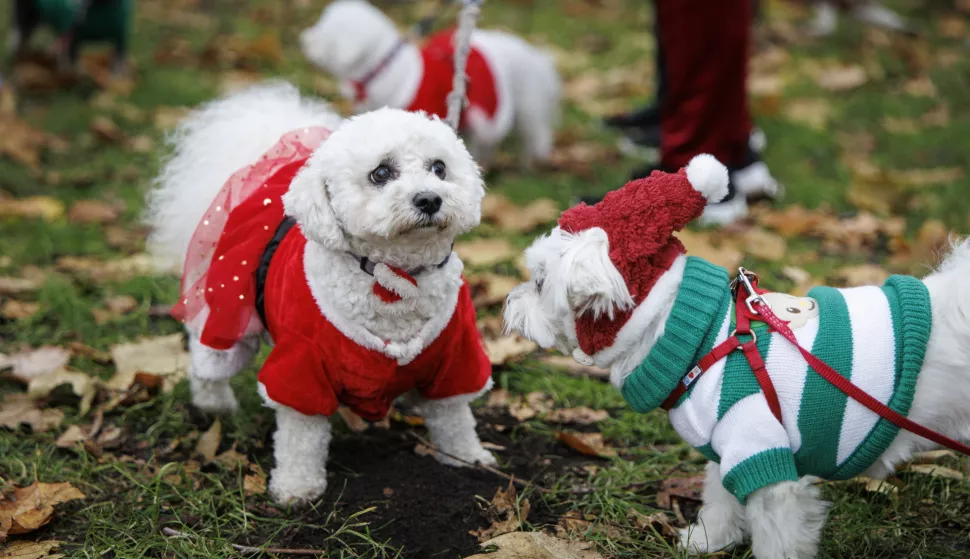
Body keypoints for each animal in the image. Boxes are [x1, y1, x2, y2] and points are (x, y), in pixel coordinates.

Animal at [149, 84, 500, 508]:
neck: (394, 280)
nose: (430, 199)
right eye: (381, 173)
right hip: (227, 309)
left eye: (440, 168)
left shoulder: (457, 354)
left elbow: (454, 416)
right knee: (209, 358)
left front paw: (468, 458)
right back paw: (214, 404)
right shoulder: (301, 363)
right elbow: (300, 437)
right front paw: (297, 488)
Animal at [502, 155, 968, 556]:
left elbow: (777, 540)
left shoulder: (761, 454)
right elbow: (720, 499)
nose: (509, 301)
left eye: (539, 282)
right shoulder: (727, 451)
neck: (701, 339)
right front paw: (709, 540)